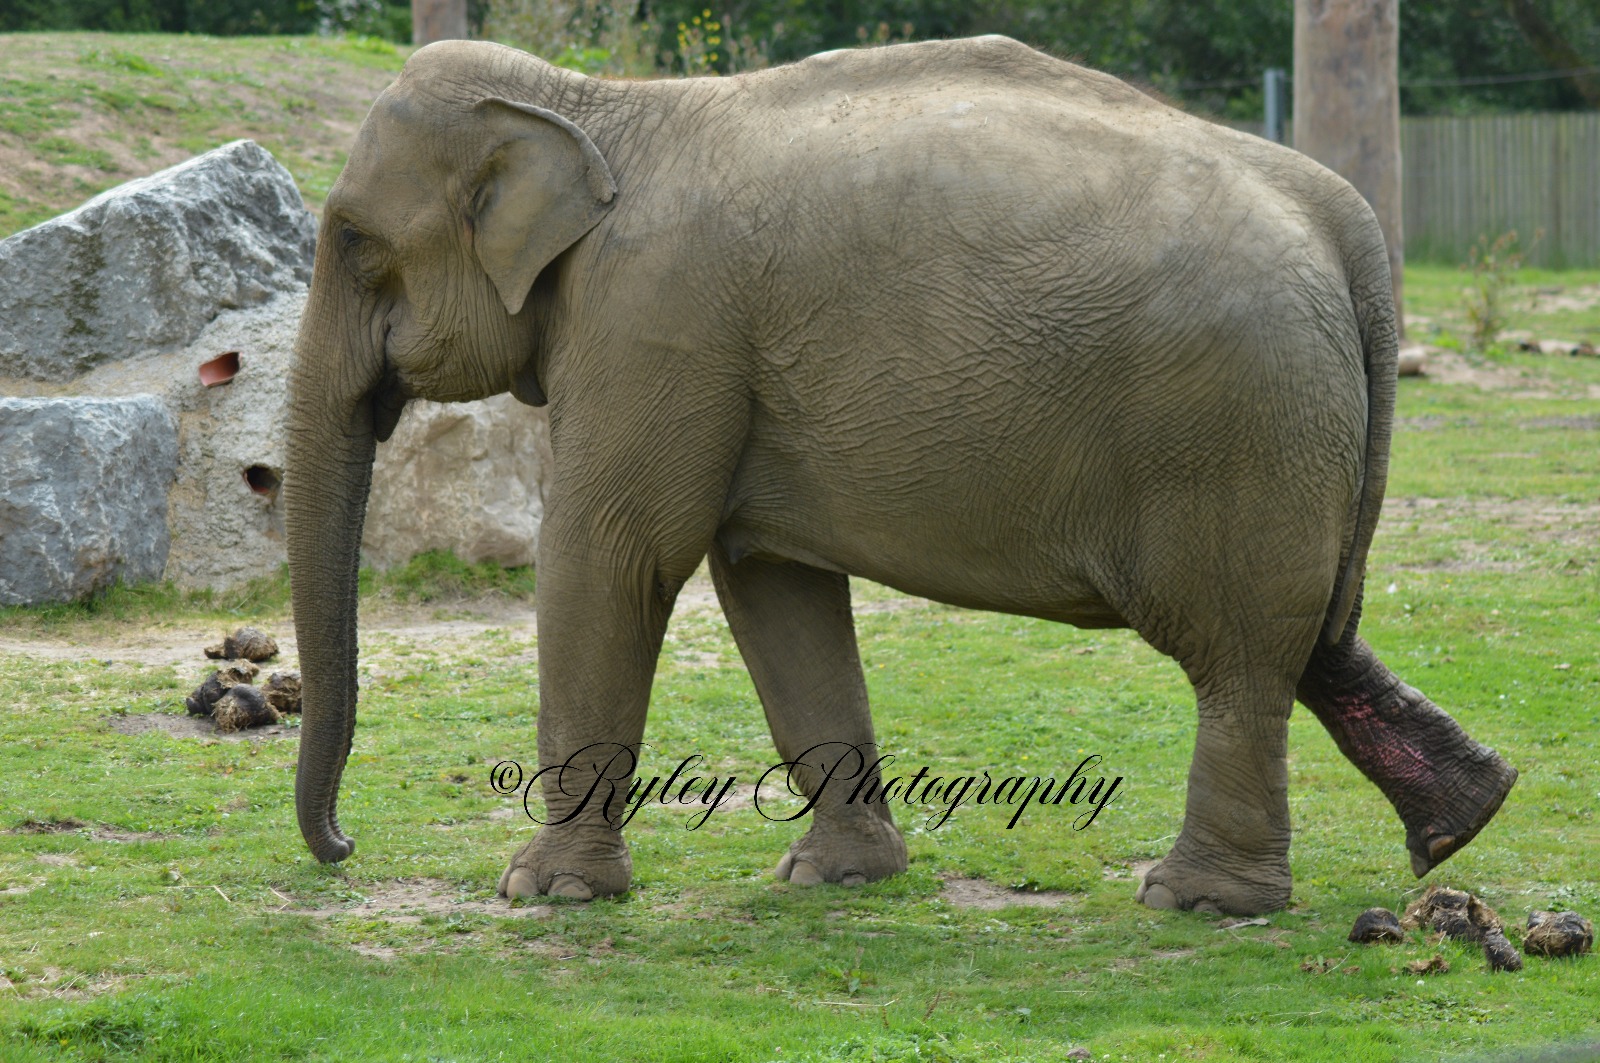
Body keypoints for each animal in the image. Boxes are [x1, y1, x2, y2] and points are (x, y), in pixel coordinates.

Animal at [285, 34, 1518, 916]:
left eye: (355, 243)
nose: (344, 847)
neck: (597, 103)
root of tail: (1342, 218)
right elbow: (770, 584)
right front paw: (837, 880)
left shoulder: (655, 321)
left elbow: (615, 553)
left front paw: (541, 894)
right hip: (1286, 436)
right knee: (1312, 638)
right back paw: (1460, 822)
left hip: (1233, 426)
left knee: (1240, 655)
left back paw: (1199, 901)